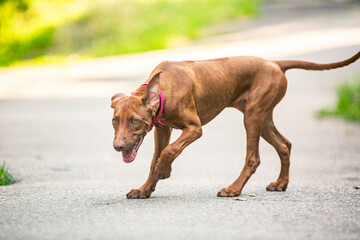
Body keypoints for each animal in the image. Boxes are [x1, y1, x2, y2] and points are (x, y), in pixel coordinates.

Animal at [111, 52, 358, 199]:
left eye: (134, 120)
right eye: (114, 120)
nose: (118, 147)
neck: (163, 87)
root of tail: (275, 63)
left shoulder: (195, 128)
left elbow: (169, 151)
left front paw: (164, 170)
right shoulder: (162, 128)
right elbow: (155, 158)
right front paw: (144, 189)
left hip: (252, 116)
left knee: (253, 158)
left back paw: (234, 188)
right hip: (262, 117)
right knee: (284, 144)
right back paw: (281, 183)